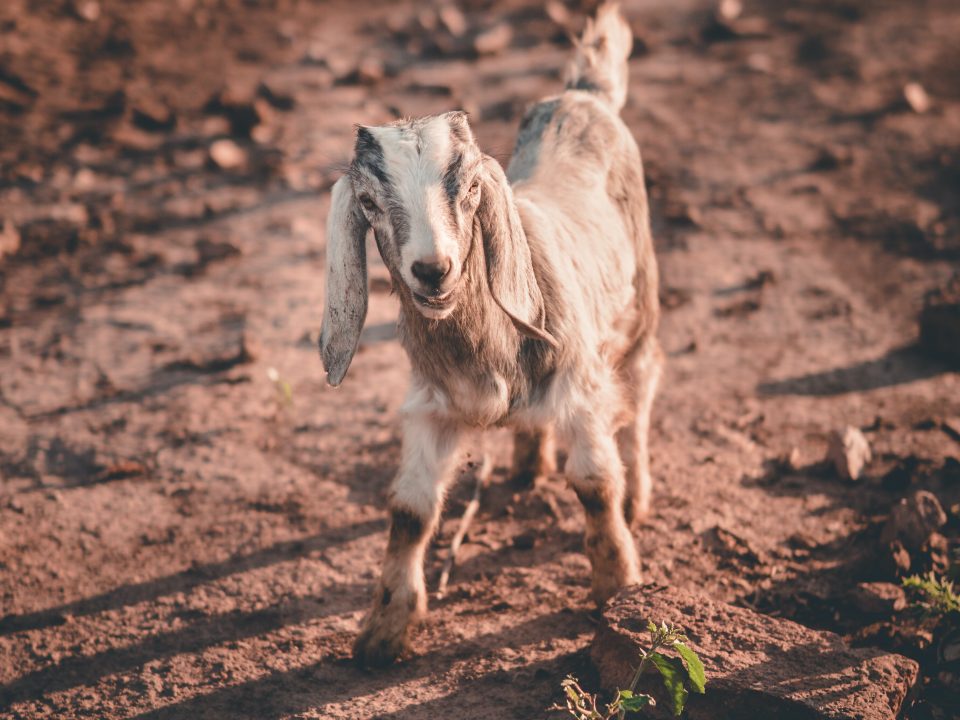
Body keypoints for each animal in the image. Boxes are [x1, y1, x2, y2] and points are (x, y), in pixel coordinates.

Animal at [320, 1, 660, 668]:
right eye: (368, 203)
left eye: (471, 188)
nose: (433, 270)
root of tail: (584, 95)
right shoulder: (431, 407)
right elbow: (410, 509)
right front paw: (382, 631)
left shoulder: (582, 388)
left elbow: (595, 484)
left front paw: (618, 587)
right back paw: (528, 461)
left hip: (641, 302)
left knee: (639, 392)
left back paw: (638, 494)